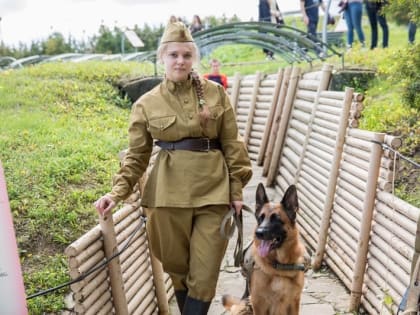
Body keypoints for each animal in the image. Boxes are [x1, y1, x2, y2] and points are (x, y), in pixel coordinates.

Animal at [223, 184, 306, 314]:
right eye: (260, 218)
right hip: (245, 306)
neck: (278, 267)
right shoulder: (259, 304)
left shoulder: (294, 302)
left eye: (277, 219)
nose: (258, 233)